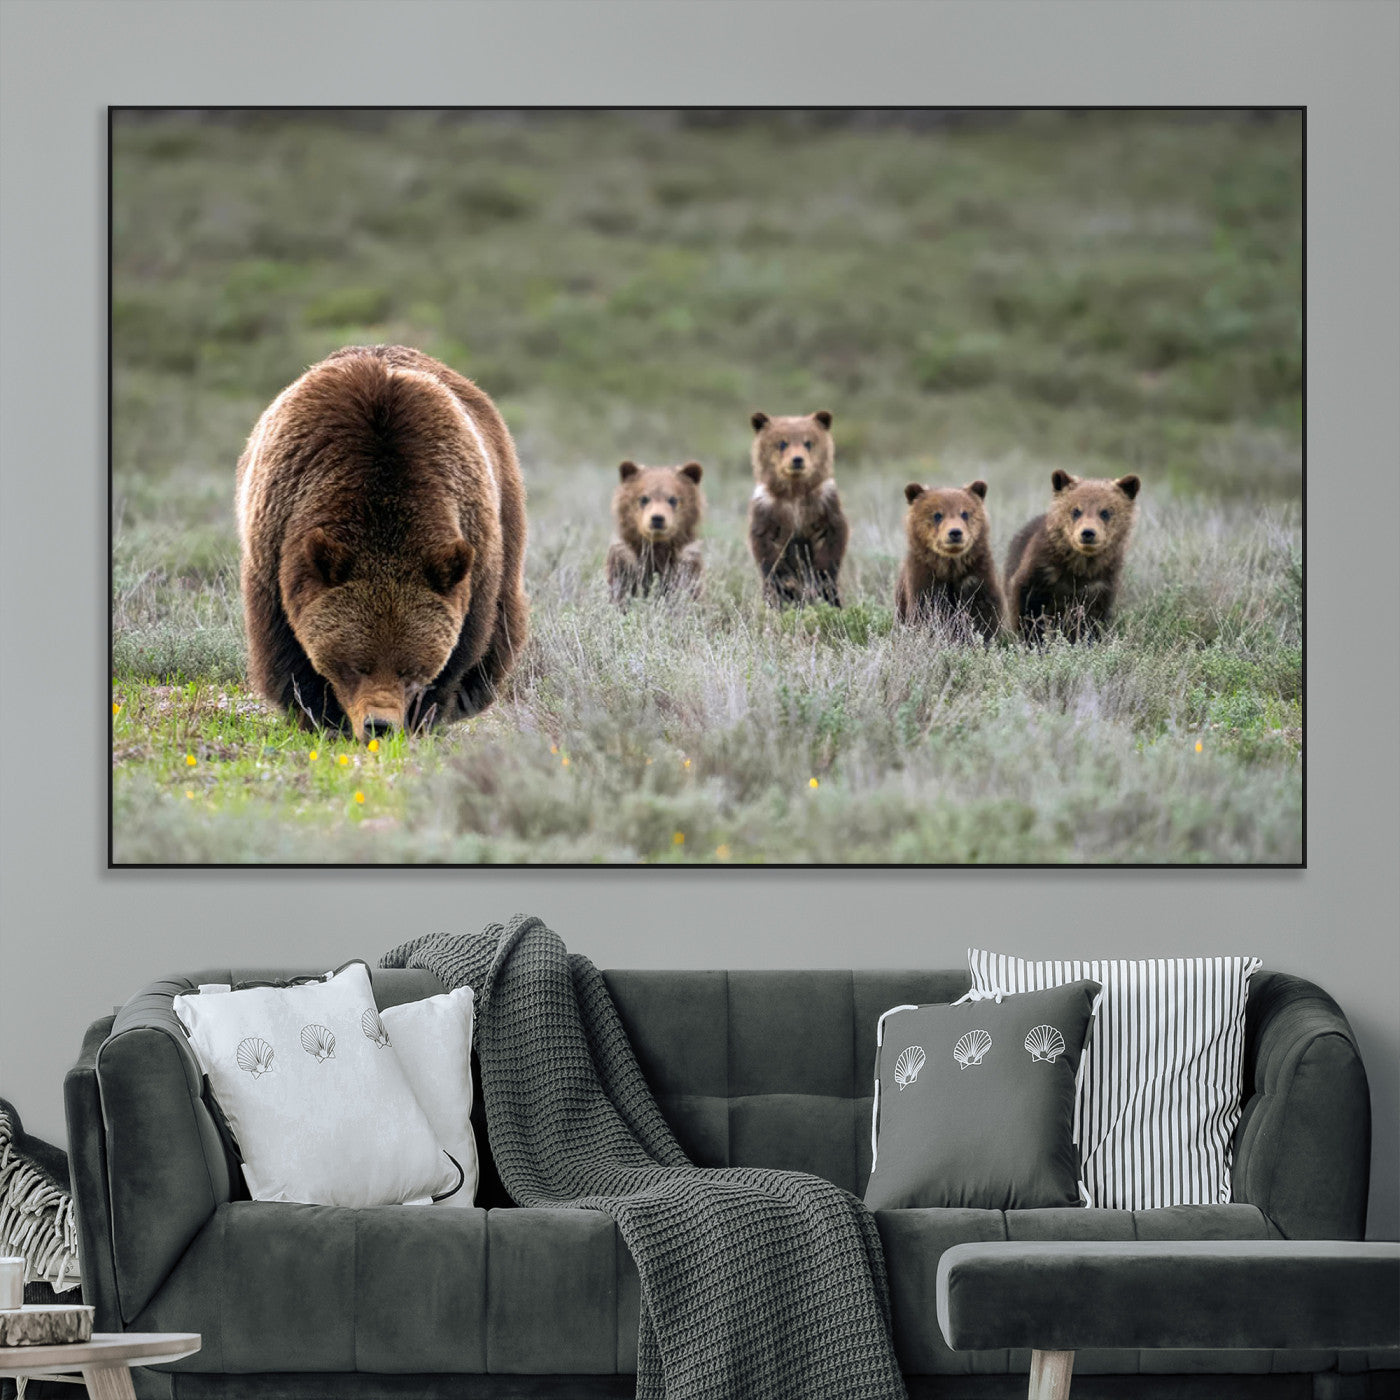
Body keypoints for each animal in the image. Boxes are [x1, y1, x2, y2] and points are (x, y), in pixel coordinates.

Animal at [235, 344, 529, 741]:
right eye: (357, 664)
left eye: (410, 668)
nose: (380, 725)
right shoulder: (277, 542)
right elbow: (287, 650)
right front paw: (321, 716)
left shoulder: (474, 550)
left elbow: (463, 649)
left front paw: (424, 717)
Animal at [605, 460, 705, 604]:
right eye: (644, 498)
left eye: (673, 499)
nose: (657, 518)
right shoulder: (625, 562)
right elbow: (620, 589)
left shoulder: (686, 563)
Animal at [747, 410, 848, 607]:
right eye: (782, 443)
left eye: (808, 442)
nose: (797, 459)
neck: (794, 494)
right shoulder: (768, 510)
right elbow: (767, 549)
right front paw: (787, 584)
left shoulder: (824, 505)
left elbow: (831, 541)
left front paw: (819, 579)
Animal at [894, 479, 1004, 641]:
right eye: (937, 515)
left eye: (964, 513)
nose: (955, 532)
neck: (950, 566)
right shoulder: (924, 579)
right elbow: (925, 613)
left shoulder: (977, 575)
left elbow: (984, 614)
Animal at [1004, 469, 1141, 643]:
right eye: (1076, 510)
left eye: (1105, 512)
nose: (1088, 533)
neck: (1079, 567)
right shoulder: (1040, 573)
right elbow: (1027, 608)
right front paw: (1033, 639)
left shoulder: (1100, 584)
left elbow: (1092, 619)